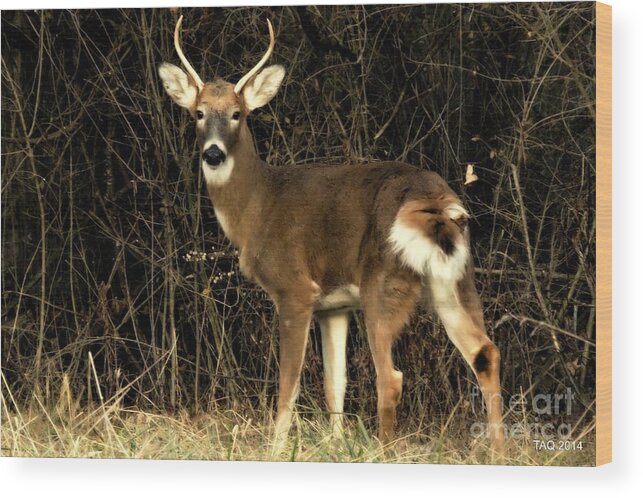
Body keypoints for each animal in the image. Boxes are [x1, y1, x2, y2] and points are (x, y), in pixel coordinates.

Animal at [158, 16, 506, 460]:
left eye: (238, 114)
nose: (214, 154)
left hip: (383, 283)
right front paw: (336, 445)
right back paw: (500, 454)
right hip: (456, 281)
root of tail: (435, 202)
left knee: (391, 376)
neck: (258, 207)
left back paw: (385, 452)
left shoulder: (295, 288)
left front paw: (276, 450)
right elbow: (333, 384)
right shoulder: (334, 305)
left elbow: (288, 384)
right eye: (199, 113)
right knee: (485, 352)